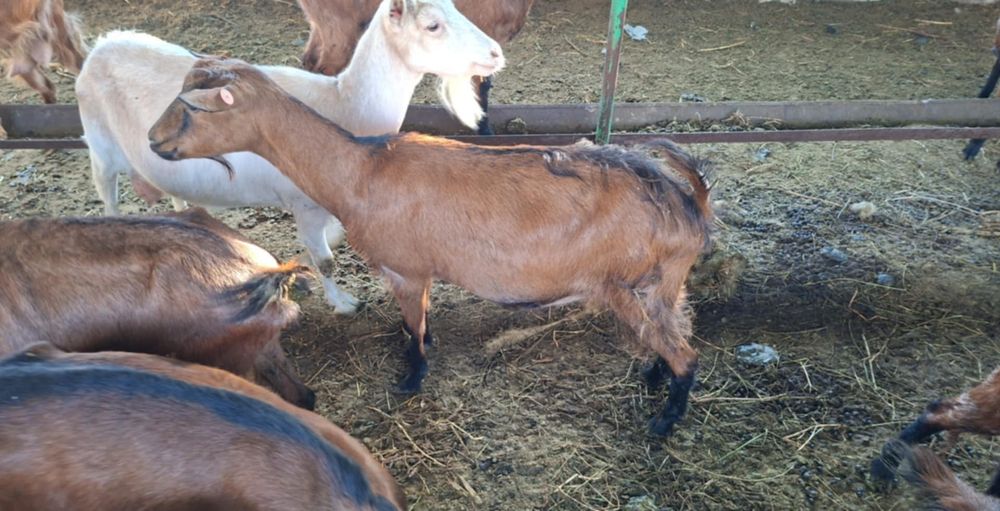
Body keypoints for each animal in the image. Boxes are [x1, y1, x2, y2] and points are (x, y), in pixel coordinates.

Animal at [76, 0, 504, 315]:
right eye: (432, 25)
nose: (496, 53)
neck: (344, 101)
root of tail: (102, 45)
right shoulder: (306, 205)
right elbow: (326, 259)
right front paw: (343, 302)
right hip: (100, 148)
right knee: (108, 197)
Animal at [147, 58, 714, 436]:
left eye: (192, 108)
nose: (153, 141)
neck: (359, 171)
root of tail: (688, 201)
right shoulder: (418, 273)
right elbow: (419, 320)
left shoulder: (404, 268)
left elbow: (412, 330)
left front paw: (410, 379)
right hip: (663, 283)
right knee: (674, 334)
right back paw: (652, 376)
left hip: (624, 285)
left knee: (686, 355)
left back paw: (664, 421)